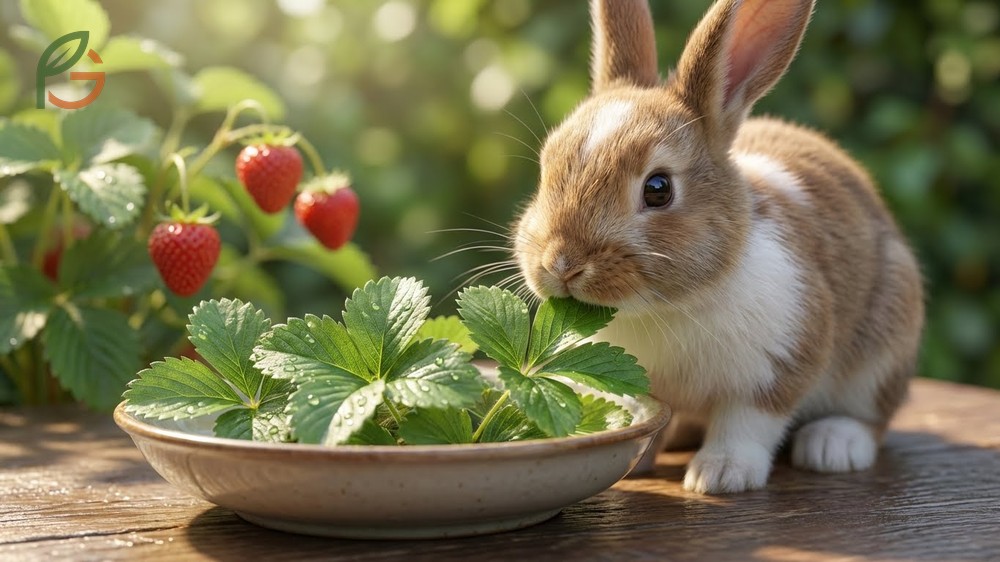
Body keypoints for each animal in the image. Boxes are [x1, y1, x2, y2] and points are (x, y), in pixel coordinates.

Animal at [512, 0, 924, 494]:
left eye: (658, 189)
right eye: (546, 167)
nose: (561, 263)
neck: (663, 309)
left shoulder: (779, 362)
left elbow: (748, 423)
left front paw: (720, 475)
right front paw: (643, 458)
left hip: (883, 348)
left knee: (871, 416)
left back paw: (833, 446)